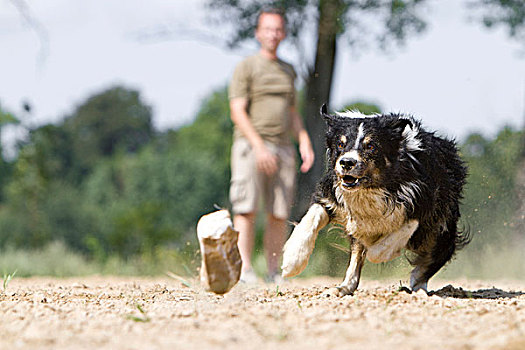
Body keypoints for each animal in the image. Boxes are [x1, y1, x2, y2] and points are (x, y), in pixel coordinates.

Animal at [280, 106, 468, 296]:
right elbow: (311, 219)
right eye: (340, 144)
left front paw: (378, 248)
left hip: (441, 230)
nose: (346, 162)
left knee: (432, 259)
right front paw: (292, 261)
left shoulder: (422, 205)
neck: (370, 189)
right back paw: (341, 288)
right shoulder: (331, 196)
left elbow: (381, 247)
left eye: (371, 146)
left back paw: (419, 288)